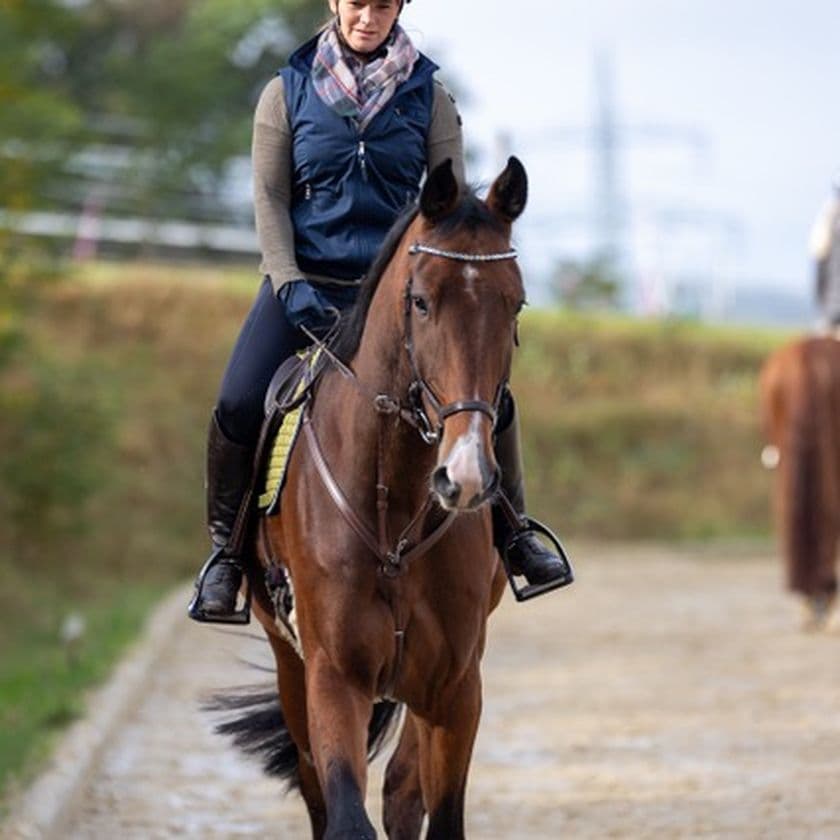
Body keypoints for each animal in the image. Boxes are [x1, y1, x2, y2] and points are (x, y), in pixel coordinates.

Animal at [221, 157, 530, 838]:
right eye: (420, 300)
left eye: (516, 303)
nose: (465, 476)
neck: (394, 507)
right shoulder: (334, 677)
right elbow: (343, 815)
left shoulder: (456, 684)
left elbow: (436, 813)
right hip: (291, 664)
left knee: (401, 788)